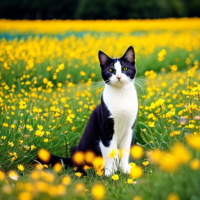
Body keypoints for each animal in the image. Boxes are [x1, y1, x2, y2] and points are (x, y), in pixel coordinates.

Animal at [36, 46, 138, 177]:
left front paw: (125, 169)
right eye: (111, 70)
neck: (121, 96)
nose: (119, 77)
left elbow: (125, 151)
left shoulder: (129, 128)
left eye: (125, 68)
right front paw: (110, 173)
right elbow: (110, 152)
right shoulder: (105, 129)